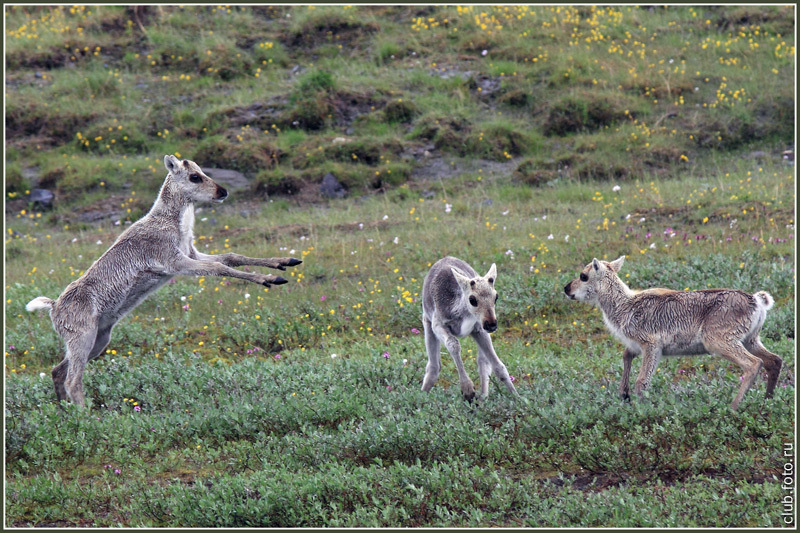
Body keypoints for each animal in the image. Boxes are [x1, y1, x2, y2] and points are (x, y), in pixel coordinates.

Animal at [27, 156, 304, 406]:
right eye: (194, 176)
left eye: (203, 171)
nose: (223, 192)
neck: (172, 221)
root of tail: (53, 306)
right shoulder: (176, 262)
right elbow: (219, 267)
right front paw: (271, 279)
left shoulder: (192, 253)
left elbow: (232, 257)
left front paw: (285, 262)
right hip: (82, 339)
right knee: (73, 380)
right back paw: (85, 417)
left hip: (99, 340)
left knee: (57, 370)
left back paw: (64, 411)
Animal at [418, 256, 520, 400]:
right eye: (472, 299)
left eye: (496, 296)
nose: (492, 324)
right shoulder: (437, 325)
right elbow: (453, 344)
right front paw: (467, 389)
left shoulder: (479, 329)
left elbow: (498, 365)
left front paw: (517, 397)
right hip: (427, 323)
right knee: (433, 366)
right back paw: (422, 395)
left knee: (483, 362)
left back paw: (483, 397)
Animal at [564, 256, 784, 410]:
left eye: (583, 276)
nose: (566, 289)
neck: (624, 306)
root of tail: (757, 301)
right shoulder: (635, 346)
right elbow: (626, 356)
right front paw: (624, 395)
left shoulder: (651, 346)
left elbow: (641, 381)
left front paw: (642, 410)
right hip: (751, 340)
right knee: (774, 360)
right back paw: (767, 401)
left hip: (719, 341)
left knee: (753, 364)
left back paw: (733, 407)